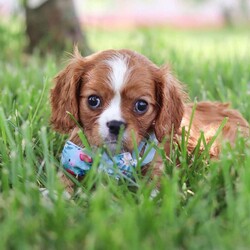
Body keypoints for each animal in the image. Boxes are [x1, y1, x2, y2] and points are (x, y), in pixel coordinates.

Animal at [49, 48, 249, 189]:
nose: (115, 125)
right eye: (93, 100)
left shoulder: (158, 168)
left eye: (141, 105)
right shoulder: (72, 161)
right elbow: (60, 184)